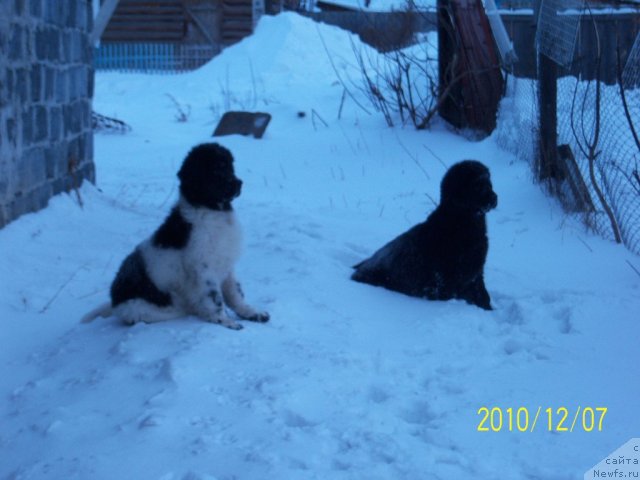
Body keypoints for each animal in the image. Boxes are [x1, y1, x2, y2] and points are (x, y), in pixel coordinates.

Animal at [82, 142, 268, 330]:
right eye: (216, 170)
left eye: (230, 167)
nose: (239, 183)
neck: (210, 210)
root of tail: (114, 302)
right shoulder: (204, 269)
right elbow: (215, 298)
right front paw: (225, 321)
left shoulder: (227, 265)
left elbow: (235, 293)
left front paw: (252, 313)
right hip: (149, 308)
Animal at [352, 160, 498, 312]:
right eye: (477, 185)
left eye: (489, 184)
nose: (494, 198)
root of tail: (361, 268)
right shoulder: (448, 279)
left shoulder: (475, 274)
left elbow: (483, 296)